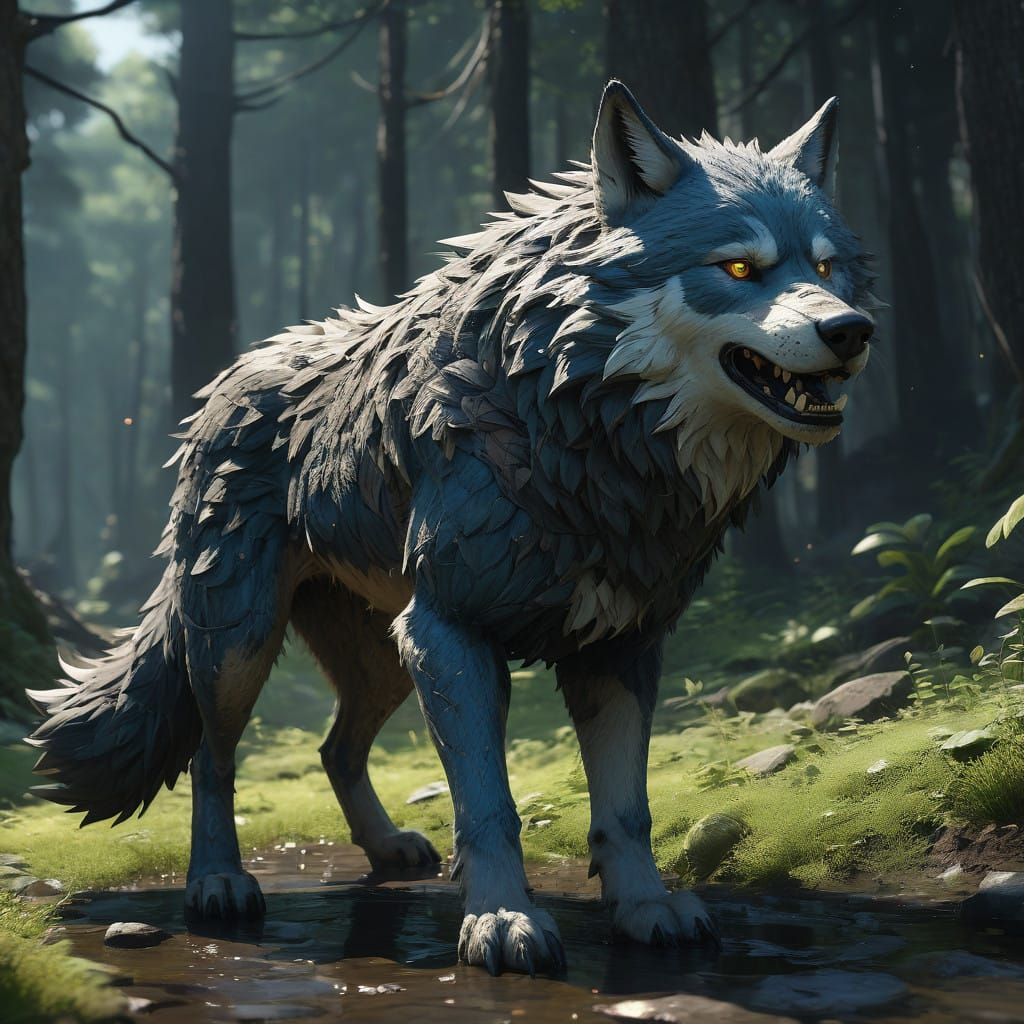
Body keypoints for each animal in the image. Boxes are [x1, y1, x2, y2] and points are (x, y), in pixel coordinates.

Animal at [27, 81, 873, 975]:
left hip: (384, 660)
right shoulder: (452, 632)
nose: (852, 331)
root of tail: (222, 385)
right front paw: (502, 920)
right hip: (242, 646)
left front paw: (645, 907)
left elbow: (626, 809)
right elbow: (489, 805)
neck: (573, 423)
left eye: (825, 267)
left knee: (334, 748)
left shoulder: (619, 647)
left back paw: (387, 848)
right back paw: (218, 883)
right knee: (211, 758)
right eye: (739, 267)